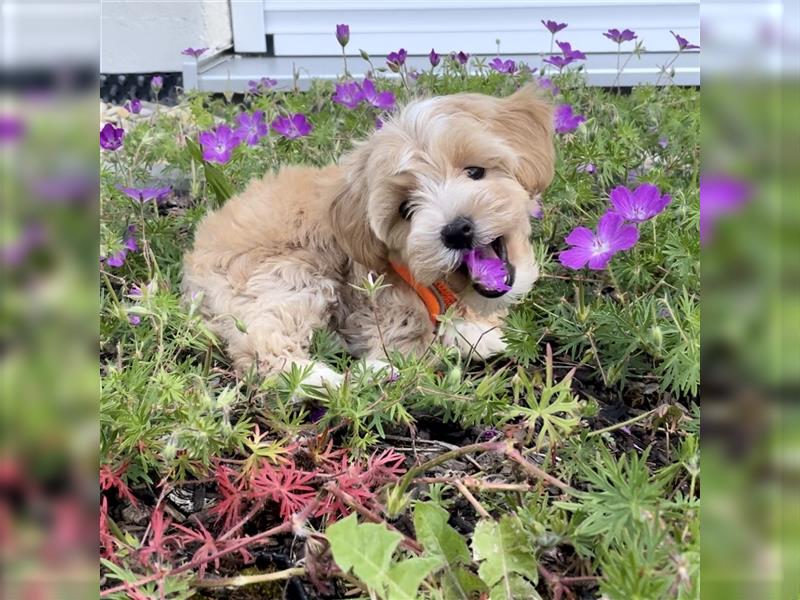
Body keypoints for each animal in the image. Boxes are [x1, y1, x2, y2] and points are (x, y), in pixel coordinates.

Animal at [184, 83, 552, 384]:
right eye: (406, 209)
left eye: (475, 171)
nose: (457, 231)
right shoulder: (379, 302)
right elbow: (406, 338)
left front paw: (475, 329)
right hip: (290, 275)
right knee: (265, 346)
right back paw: (340, 379)